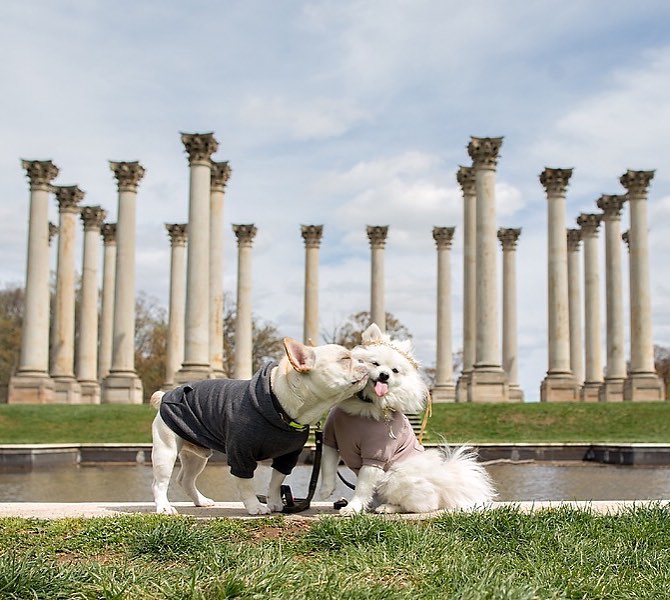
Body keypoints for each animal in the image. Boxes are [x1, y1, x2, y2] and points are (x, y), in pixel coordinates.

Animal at [151, 338, 368, 516]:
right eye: (345, 358)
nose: (365, 363)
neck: (280, 405)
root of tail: (166, 395)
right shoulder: (241, 454)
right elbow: (246, 483)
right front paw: (255, 506)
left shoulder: (288, 456)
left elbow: (276, 481)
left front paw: (275, 503)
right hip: (166, 451)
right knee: (159, 483)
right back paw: (165, 507)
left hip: (197, 456)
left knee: (185, 479)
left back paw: (200, 501)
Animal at [320, 324, 498, 516]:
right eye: (375, 364)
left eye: (395, 371)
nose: (384, 375)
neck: (366, 404)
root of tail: (442, 487)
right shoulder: (331, 439)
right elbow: (327, 467)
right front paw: (326, 490)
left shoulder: (376, 455)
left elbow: (362, 486)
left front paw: (353, 507)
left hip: (396, 476)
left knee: (419, 505)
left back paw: (387, 507)